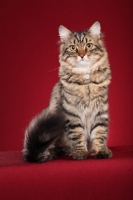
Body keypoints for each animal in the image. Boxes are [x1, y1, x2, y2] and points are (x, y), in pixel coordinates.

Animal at [22, 21, 112, 162]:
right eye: (73, 48)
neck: (85, 81)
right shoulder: (72, 113)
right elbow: (77, 135)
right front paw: (80, 152)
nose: (81, 55)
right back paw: (67, 151)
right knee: (58, 147)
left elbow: (100, 132)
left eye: (89, 45)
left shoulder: (100, 111)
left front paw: (100, 151)